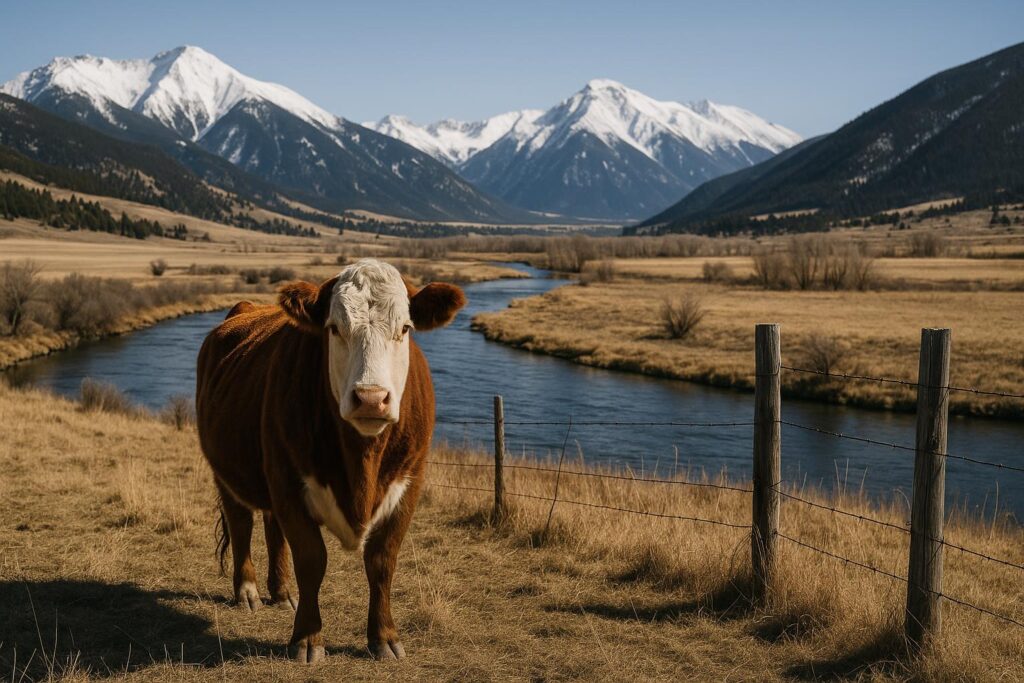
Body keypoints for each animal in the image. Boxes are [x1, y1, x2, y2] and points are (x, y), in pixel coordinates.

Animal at [195, 258, 466, 663]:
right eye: (334, 328)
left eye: (404, 328)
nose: (371, 399)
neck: (361, 462)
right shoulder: (289, 482)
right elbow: (311, 560)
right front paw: (308, 639)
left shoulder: (410, 484)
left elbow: (382, 561)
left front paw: (384, 638)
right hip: (227, 471)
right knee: (241, 522)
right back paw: (248, 591)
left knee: (272, 527)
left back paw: (282, 592)